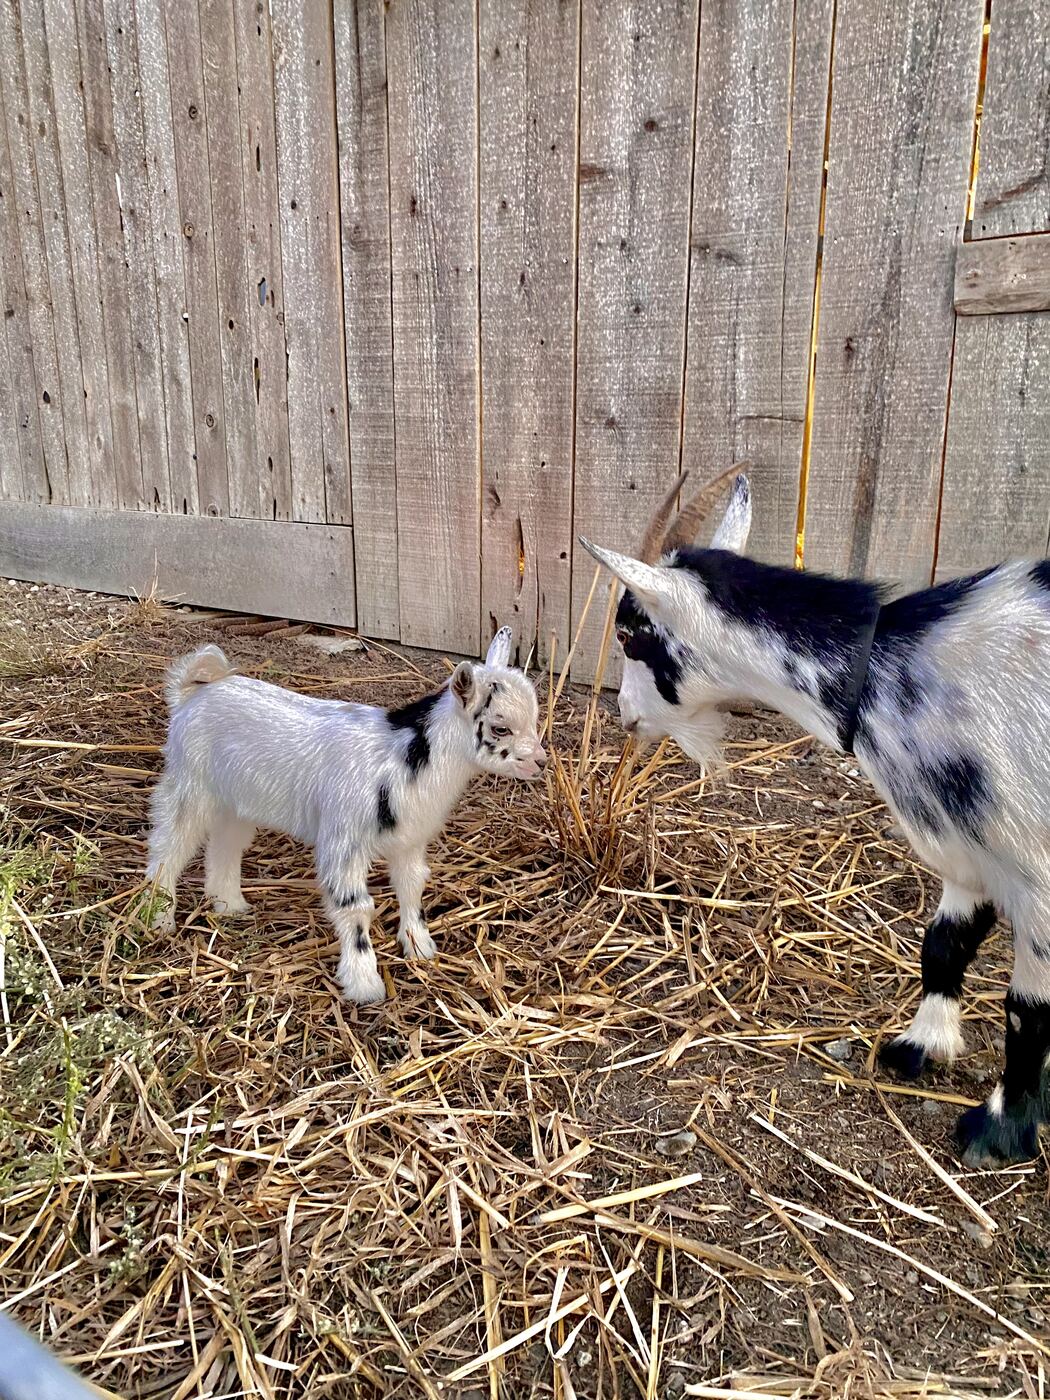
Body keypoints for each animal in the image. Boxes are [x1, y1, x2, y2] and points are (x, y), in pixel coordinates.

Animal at [145, 628, 546, 1004]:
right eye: (500, 728)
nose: (540, 762)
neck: (405, 757)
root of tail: (194, 690)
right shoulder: (344, 841)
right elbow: (356, 908)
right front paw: (364, 984)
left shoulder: (409, 840)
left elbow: (413, 885)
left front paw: (419, 947)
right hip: (190, 784)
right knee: (169, 845)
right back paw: (159, 917)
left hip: (237, 799)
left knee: (225, 844)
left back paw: (230, 906)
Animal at [580, 467, 1050, 1167]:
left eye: (630, 634)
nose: (626, 717)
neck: (885, 670)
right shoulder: (968, 849)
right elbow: (943, 946)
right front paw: (919, 1048)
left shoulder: (1038, 878)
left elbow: (1027, 1011)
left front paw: (997, 1132)